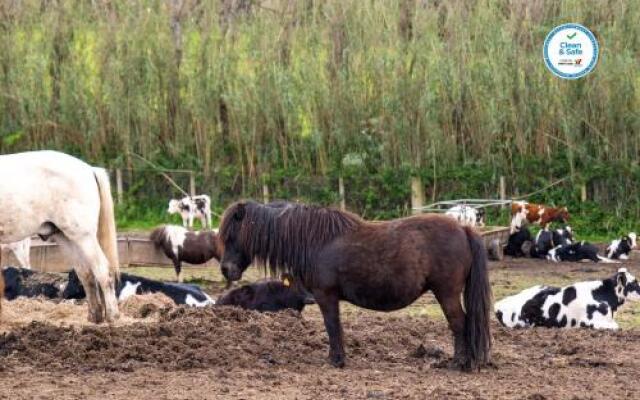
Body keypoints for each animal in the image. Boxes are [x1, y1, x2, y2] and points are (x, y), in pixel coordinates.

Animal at [0, 150, 120, 322]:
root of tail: (90, 169)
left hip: (84, 237)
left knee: (103, 272)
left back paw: (112, 317)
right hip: (67, 238)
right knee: (86, 274)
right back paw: (94, 317)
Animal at [218, 202, 492, 370]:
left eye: (232, 236)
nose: (226, 270)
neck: (314, 241)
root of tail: (463, 227)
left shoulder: (325, 296)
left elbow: (332, 326)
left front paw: (335, 360)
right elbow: (336, 327)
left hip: (446, 292)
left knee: (459, 323)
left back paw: (459, 364)